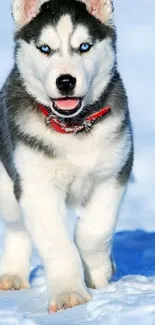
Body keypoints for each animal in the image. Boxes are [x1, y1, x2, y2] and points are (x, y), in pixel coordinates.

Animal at [0, 0, 133, 312]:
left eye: (84, 46)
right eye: (44, 48)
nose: (65, 81)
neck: (73, 128)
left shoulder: (114, 173)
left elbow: (94, 230)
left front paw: (98, 272)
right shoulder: (36, 187)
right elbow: (57, 244)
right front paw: (69, 294)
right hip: (7, 186)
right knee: (17, 228)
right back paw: (12, 274)